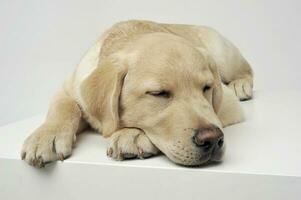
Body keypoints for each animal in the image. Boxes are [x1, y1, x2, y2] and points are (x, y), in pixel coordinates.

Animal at [19, 20, 252, 167]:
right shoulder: (69, 87)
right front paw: (46, 136)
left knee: (246, 69)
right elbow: (64, 106)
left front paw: (131, 134)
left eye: (207, 88)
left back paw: (242, 85)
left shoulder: (227, 105)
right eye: (158, 93)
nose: (212, 140)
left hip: (221, 52)